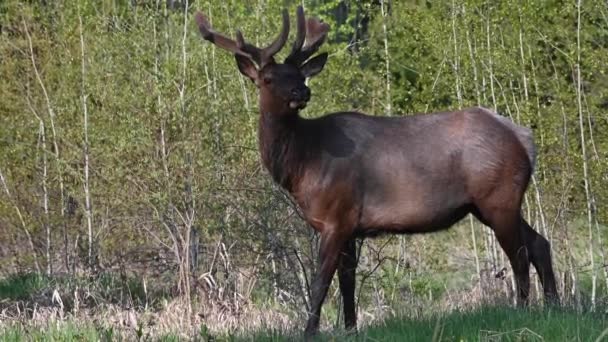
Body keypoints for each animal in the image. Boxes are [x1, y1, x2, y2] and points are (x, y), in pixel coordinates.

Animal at [197, 5, 560, 336]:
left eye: (299, 75)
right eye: (268, 78)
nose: (303, 92)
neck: (303, 164)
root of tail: (523, 138)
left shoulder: (337, 215)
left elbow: (320, 281)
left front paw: (309, 331)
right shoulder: (349, 225)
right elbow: (347, 281)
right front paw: (350, 328)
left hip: (498, 195)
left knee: (520, 255)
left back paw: (522, 312)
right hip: (489, 204)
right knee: (540, 243)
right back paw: (554, 306)